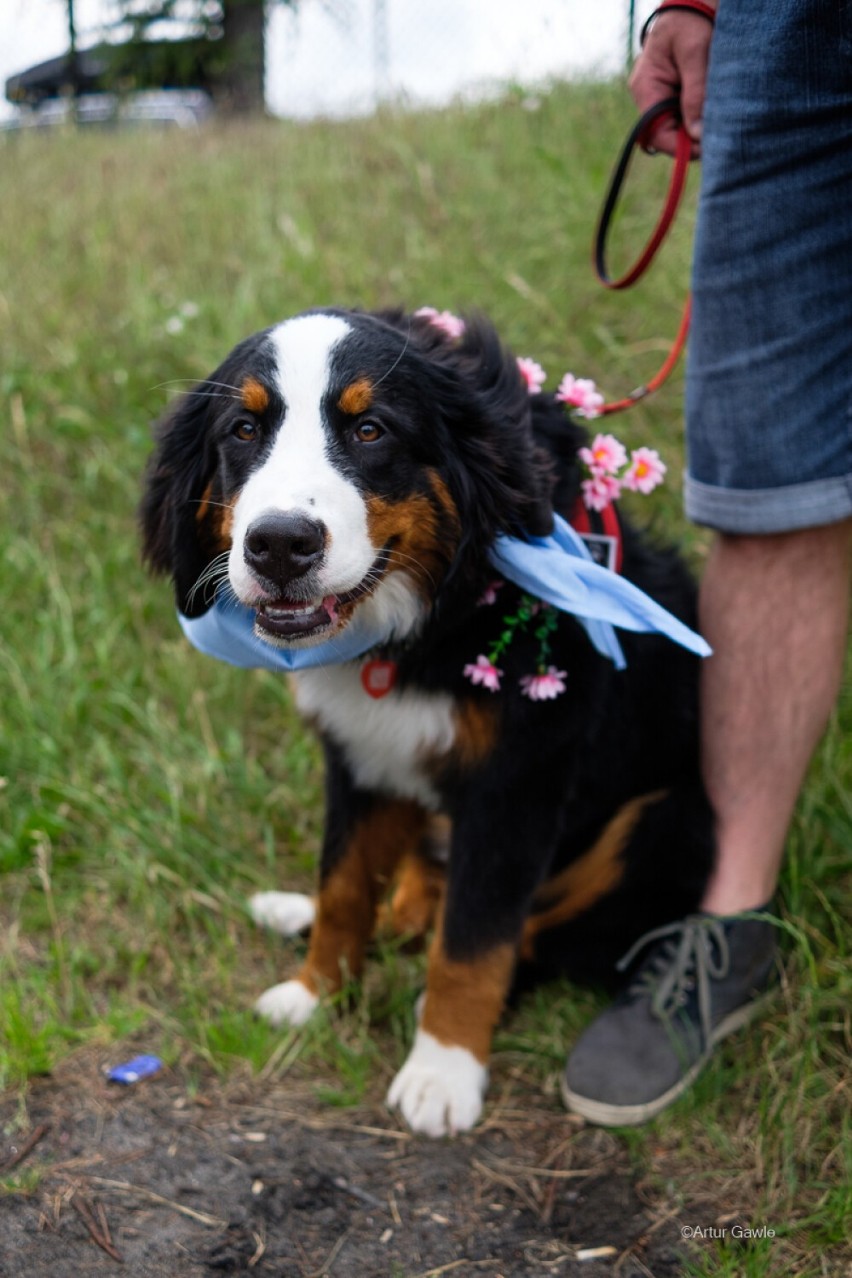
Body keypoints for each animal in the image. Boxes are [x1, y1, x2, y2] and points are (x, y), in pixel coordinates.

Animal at [139, 306, 715, 1139]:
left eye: (370, 429)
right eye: (243, 430)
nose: (278, 544)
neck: (422, 624)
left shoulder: (519, 783)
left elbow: (475, 941)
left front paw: (443, 1071)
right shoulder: (360, 756)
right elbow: (346, 886)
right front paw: (316, 994)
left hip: (663, 821)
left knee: (538, 936)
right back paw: (301, 912)